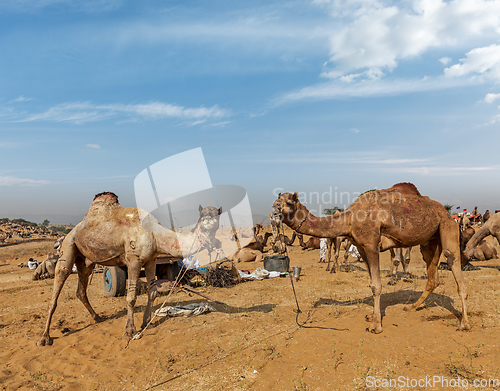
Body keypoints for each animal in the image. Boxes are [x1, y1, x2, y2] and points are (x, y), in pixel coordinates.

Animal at [37, 193, 221, 346]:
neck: (155, 234)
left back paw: (97, 317)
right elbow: (131, 297)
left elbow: (152, 292)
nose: (210, 223)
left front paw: (146, 322)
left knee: (81, 289)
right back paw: (45, 338)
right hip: (69, 245)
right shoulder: (133, 260)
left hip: (86, 260)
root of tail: (72, 230)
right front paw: (130, 331)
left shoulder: (151, 259)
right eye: (204, 216)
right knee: (59, 282)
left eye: (217, 216)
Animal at [272, 183, 470, 334]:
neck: (350, 218)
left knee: (454, 266)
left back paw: (464, 324)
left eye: (289, 201)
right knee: (432, 277)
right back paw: (411, 307)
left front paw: (376, 326)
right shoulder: (360, 246)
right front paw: (372, 316)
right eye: (276, 201)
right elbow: (371, 283)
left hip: (447, 227)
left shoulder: (371, 244)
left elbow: (376, 285)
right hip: (430, 240)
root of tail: (446, 213)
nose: (275, 211)